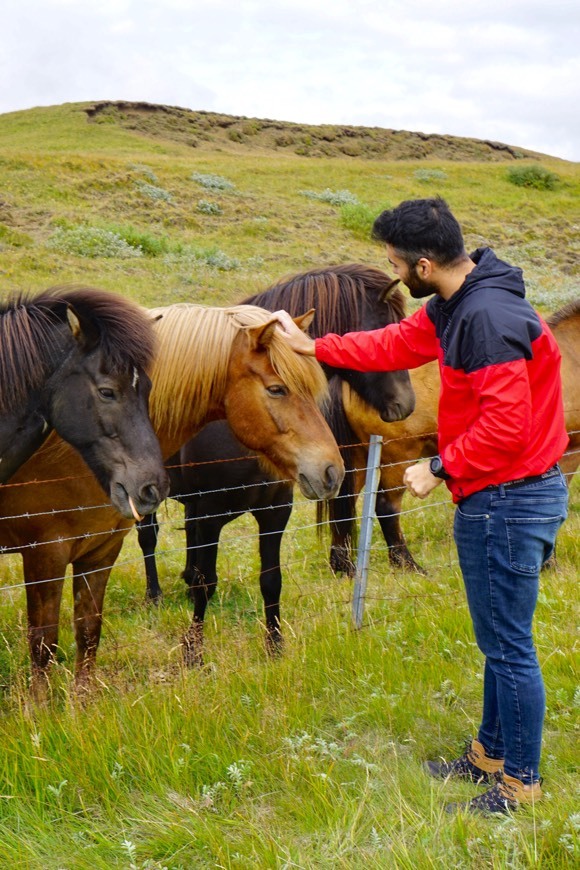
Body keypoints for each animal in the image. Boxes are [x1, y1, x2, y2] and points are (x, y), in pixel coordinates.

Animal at [136, 263, 415, 659]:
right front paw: (193, 651)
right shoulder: (210, 513)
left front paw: (275, 646)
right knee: (148, 537)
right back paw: (154, 595)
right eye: (385, 333)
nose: (405, 405)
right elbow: (207, 582)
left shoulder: (274, 510)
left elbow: (271, 579)